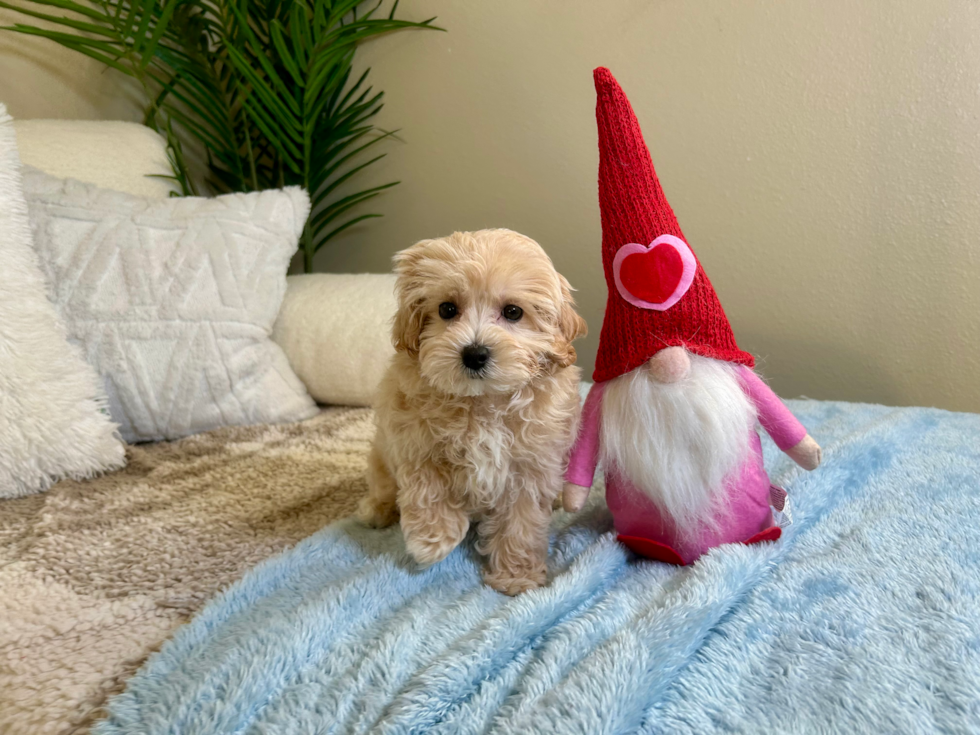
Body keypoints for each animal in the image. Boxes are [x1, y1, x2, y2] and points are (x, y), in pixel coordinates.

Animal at [360, 227, 588, 596]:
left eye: (513, 312)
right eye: (447, 308)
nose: (475, 354)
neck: (482, 401)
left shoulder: (529, 465)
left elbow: (521, 521)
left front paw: (515, 575)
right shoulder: (412, 437)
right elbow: (427, 483)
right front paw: (432, 539)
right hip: (381, 455)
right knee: (383, 483)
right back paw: (376, 509)